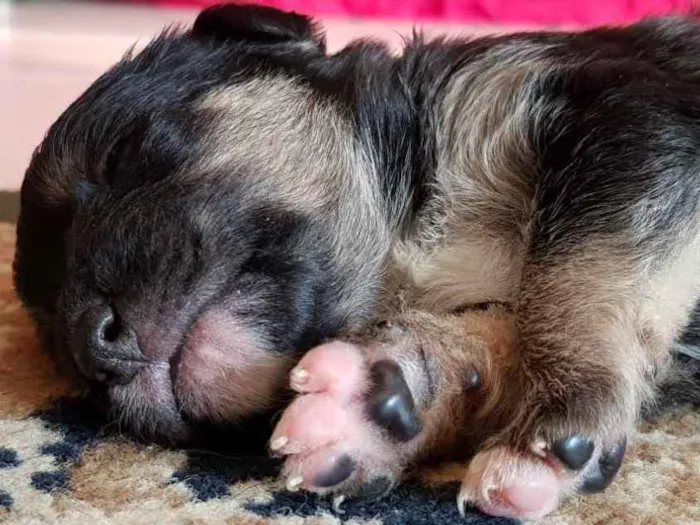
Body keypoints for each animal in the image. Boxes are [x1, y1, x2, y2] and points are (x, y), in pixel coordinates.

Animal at [9, 4, 700, 516]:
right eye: (58, 347)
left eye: (121, 155)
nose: (92, 343)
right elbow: (506, 321)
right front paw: (394, 394)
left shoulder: (618, 111)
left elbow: (577, 273)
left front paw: (562, 409)